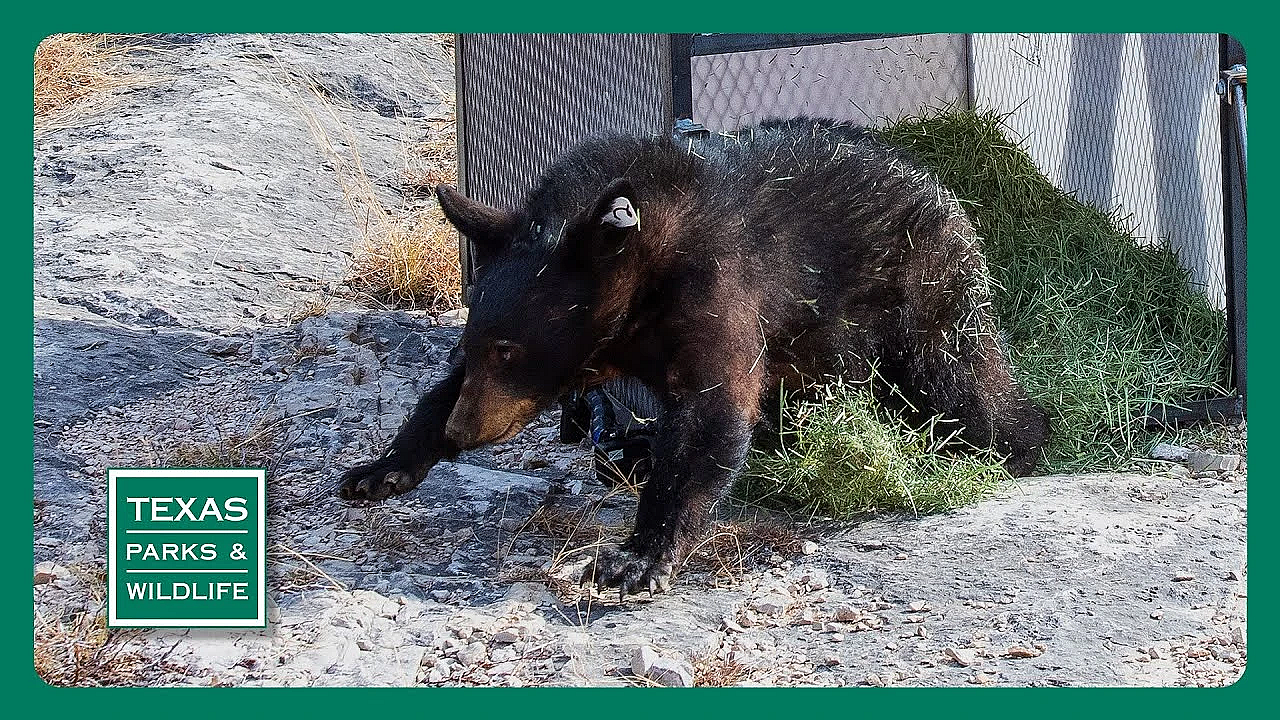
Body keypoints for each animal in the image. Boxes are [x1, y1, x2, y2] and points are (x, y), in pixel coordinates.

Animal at [338, 117, 1050, 596]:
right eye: (476, 343)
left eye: (513, 350)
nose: (464, 432)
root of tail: (942, 189)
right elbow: (441, 387)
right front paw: (381, 469)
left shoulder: (717, 283)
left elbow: (711, 411)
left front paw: (635, 557)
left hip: (926, 287)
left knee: (961, 378)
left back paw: (1004, 444)